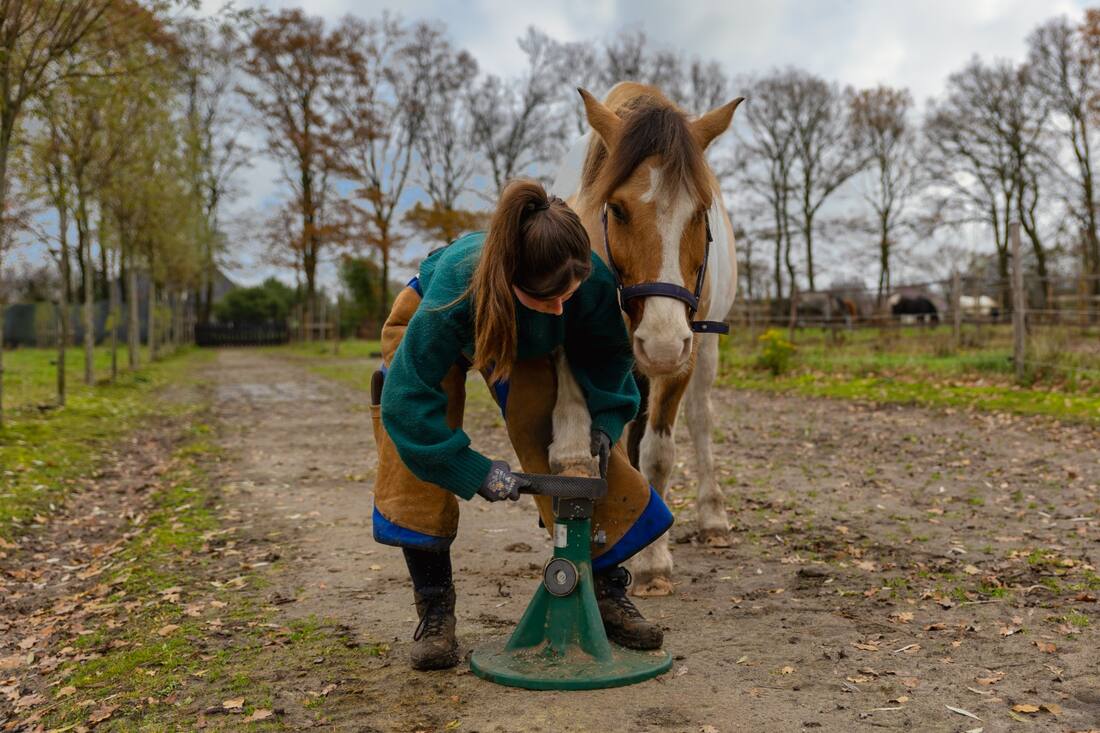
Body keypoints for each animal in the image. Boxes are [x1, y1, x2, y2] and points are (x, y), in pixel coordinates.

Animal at [548, 82, 742, 596]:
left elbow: (657, 455)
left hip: (704, 348)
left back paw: (712, 518)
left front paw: (653, 560)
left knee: (700, 420)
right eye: (617, 209)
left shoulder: (684, 355)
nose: (661, 343)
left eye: (701, 211)